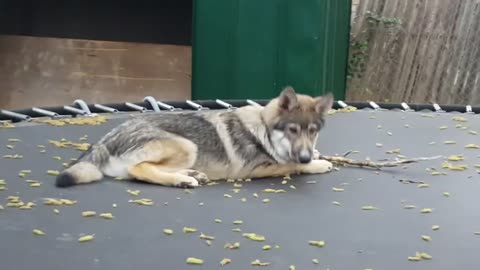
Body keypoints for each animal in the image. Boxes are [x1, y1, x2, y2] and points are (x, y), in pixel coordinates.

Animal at [55, 87, 334, 189]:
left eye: (313, 131)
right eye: (293, 130)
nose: (306, 155)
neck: (264, 130)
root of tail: (106, 139)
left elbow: (295, 160)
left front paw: (316, 156)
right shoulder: (256, 169)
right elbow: (292, 165)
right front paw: (318, 164)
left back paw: (190, 175)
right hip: (187, 145)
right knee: (138, 170)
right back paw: (183, 180)